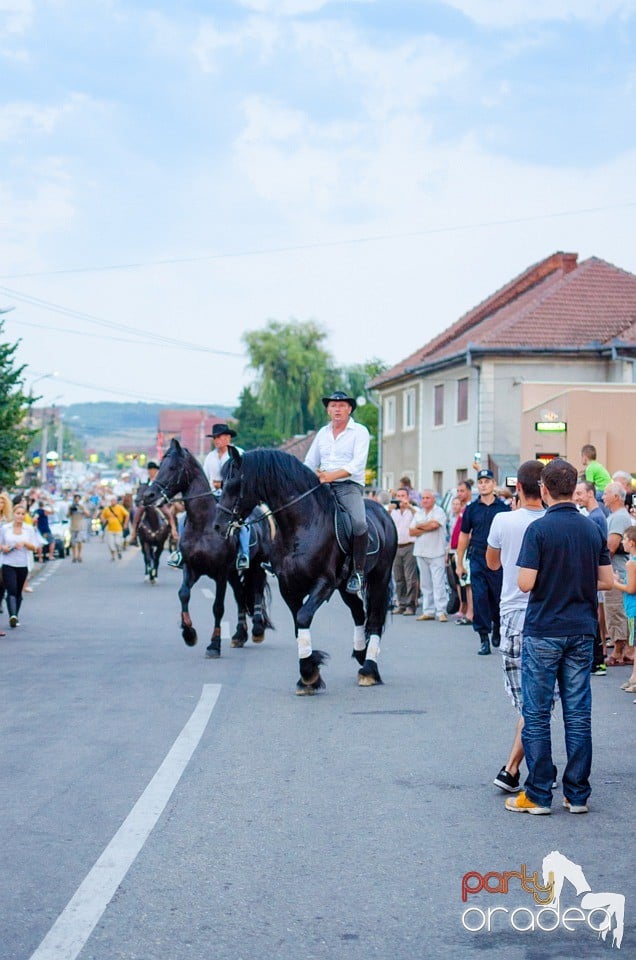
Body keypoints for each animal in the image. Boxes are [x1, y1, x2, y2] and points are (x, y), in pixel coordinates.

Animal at [143, 440, 272, 660]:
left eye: (173, 467)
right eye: (161, 466)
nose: (149, 495)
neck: (203, 524)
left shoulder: (220, 572)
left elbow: (218, 607)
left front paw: (214, 645)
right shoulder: (191, 568)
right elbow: (183, 594)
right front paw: (189, 633)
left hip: (256, 565)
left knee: (255, 590)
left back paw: (257, 630)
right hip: (233, 573)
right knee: (240, 595)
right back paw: (239, 635)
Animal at [219, 446, 398, 692]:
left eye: (234, 484)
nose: (217, 526)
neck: (303, 526)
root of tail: (383, 512)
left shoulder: (324, 584)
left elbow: (303, 617)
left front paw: (308, 672)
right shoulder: (289, 587)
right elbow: (298, 624)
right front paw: (309, 674)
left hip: (380, 578)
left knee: (374, 620)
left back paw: (369, 669)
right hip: (345, 586)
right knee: (358, 613)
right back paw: (361, 654)